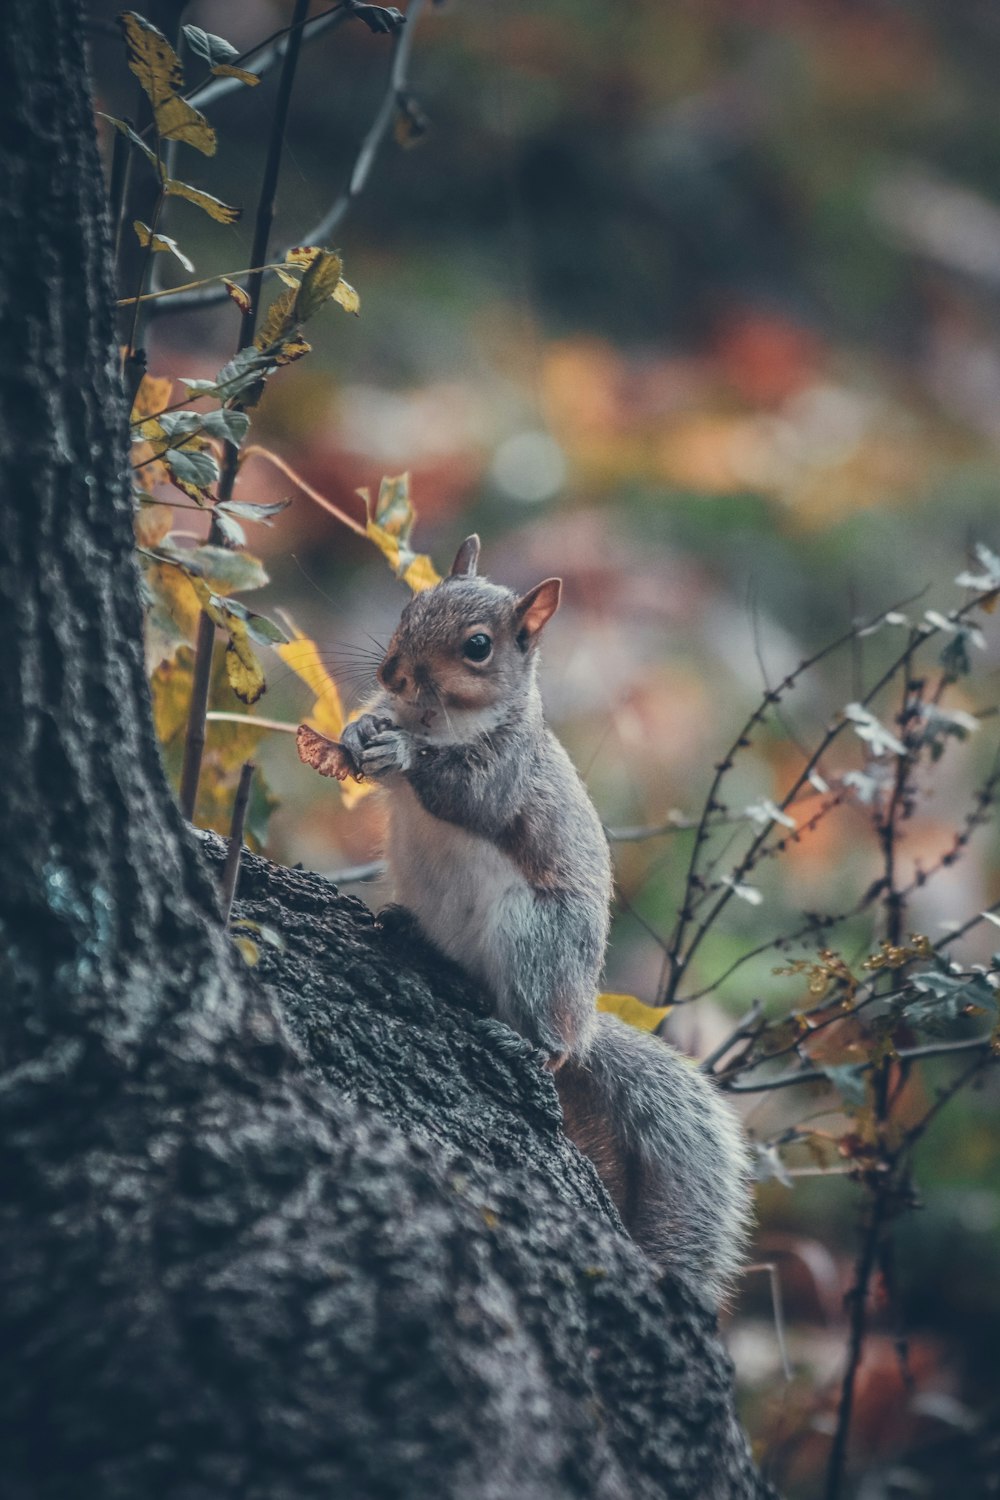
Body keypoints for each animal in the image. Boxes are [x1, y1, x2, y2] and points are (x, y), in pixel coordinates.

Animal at [314, 537, 749, 1302]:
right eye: (411, 605)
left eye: (478, 647)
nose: (393, 672)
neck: (436, 717)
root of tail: (583, 1013)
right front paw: (363, 726)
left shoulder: (506, 770)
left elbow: (466, 793)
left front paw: (403, 752)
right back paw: (408, 931)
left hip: (537, 940)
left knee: (554, 1044)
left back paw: (528, 1043)